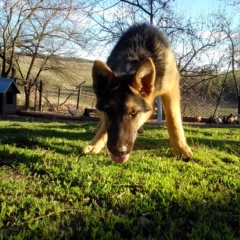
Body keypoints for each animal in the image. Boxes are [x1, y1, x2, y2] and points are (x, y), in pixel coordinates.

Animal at [82, 23, 193, 163]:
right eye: (110, 111)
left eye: (134, 112)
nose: (119, 152)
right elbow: (104, 126)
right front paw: (95, 144)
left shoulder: (171, 89)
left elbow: (173, 120)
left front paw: (181, 148)